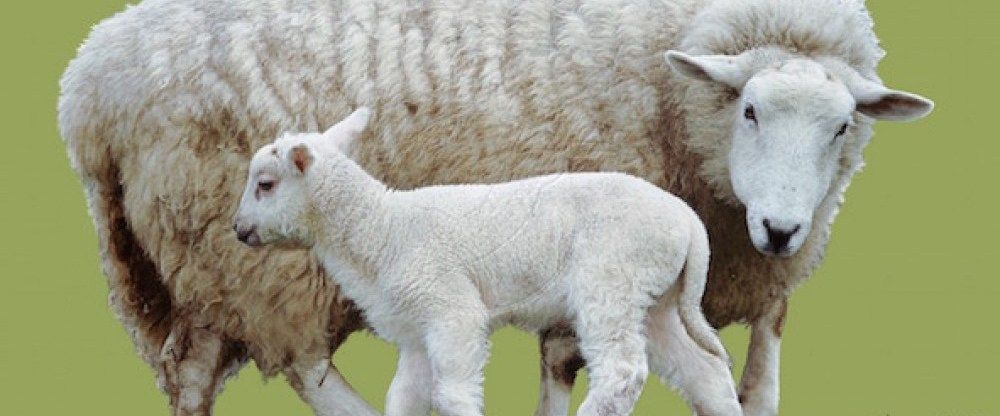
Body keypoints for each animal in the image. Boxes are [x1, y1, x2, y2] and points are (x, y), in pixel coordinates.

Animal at [233, 108, 741, 416]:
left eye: (265, 184)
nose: (238, 230)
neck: (382, 230)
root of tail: (688, 222)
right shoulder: (416, 332)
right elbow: (404, 396)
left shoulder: (450, 309)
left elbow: (453, 391)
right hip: (655, 297)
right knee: (704, 369)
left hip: (612, 278)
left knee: (622, 370)